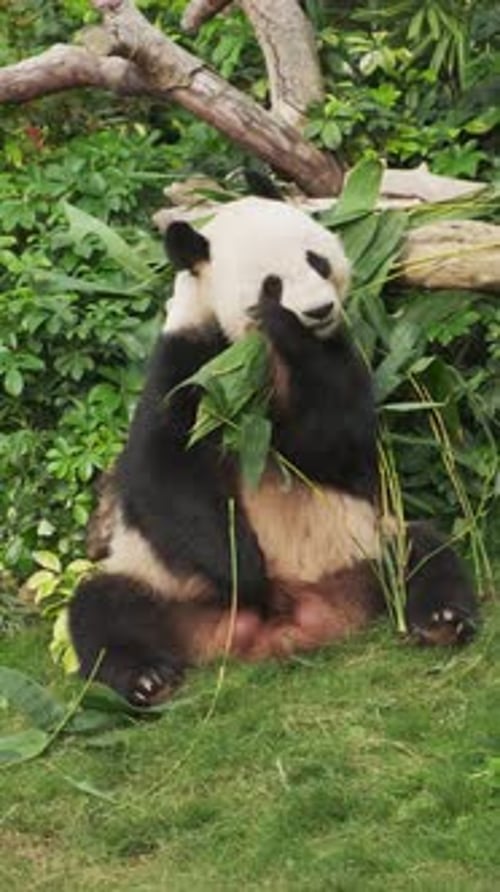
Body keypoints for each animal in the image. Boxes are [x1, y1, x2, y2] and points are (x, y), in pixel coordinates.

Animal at [69, 197, 478, 706]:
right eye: (272, 282)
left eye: (316, 260)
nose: (319, 309)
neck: (256, 354)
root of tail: (290, 623)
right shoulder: (191, 365)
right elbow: (166, 472)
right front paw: (245, 573)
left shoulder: (337, 353)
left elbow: (339, 446)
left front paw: (290, 331)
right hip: (163, 580)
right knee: (101, 608)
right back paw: (149, 678)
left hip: (364, 541)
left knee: (422, 550)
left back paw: (442, 621)